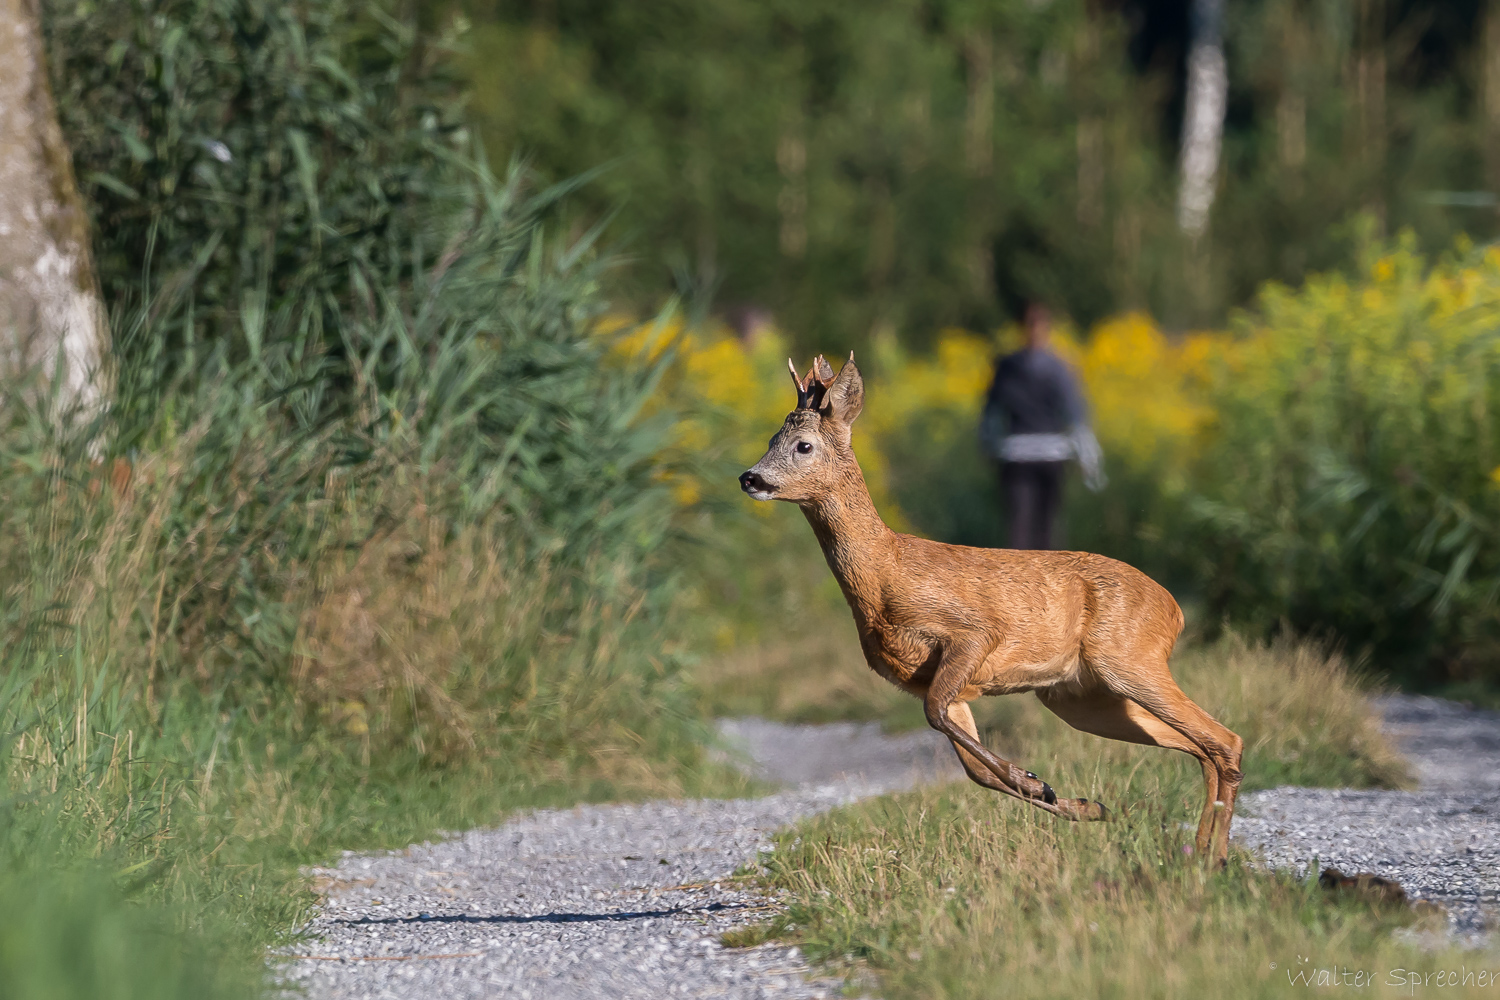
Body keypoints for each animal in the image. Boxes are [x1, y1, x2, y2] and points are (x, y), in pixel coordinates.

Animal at [735, 355, 1242, 863]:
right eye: (770, 439)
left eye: (803, 445)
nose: (750, 477)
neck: (885, 576)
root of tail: (1174, 609)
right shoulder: (931, 682)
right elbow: (971, 765)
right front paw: (1080, 803)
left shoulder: (972, 634)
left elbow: (937, 716)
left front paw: (1037, 783)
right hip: (1079, 696)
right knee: (1200, 746)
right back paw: (1199, 850)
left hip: (1129, 657)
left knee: (1224, 739)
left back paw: (1214, 857)